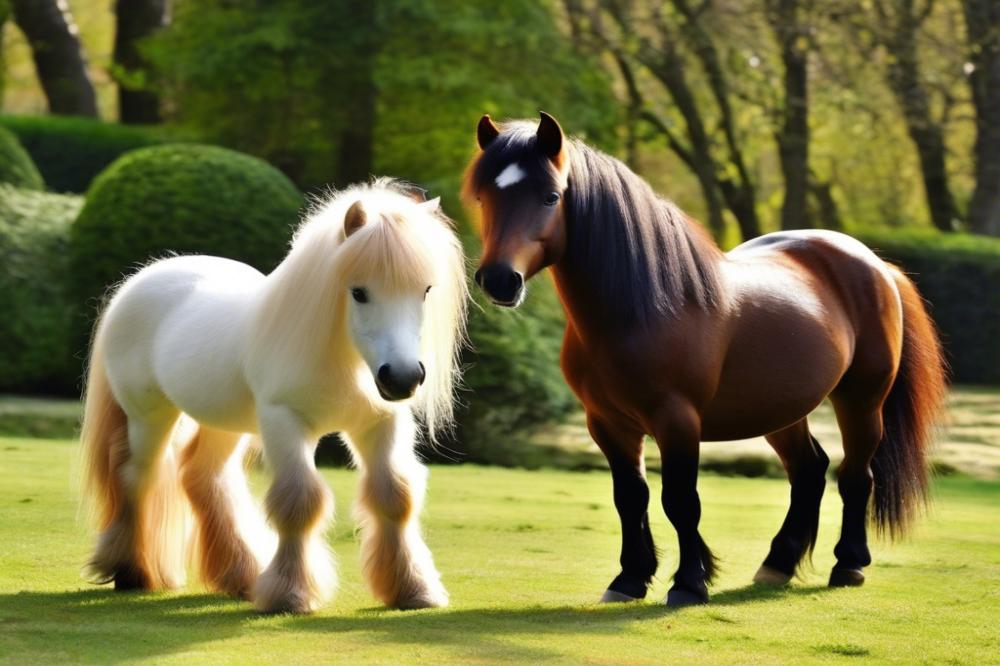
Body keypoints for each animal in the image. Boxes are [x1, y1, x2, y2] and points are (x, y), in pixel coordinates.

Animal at [79, 179, 468, 614]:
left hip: (223, 423)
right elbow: (299, 503)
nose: (402, 378)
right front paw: (290, 593)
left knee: (206, 479)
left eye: (425, 290)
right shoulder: (285, 422)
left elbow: (394, 496)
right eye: (359, 292)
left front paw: (412, 588)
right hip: (149, 417)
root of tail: (140, 281)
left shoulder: (380, 423)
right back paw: (130, 570)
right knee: (136, 477)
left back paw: (242, 575)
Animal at [466, 112, 947, 606]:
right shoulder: (607, 423)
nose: (500, 280)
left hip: (862, 400)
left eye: (551, 196)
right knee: (809, 471)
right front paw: (630, 579)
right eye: (484, 196)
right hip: (780, 410)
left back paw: (848, 564)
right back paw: (778, 563)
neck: (642, 308)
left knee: (855, 476)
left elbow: (680, 501)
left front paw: (689, 583)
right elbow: (630, 497)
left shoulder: (677, 421)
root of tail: (875, 265)